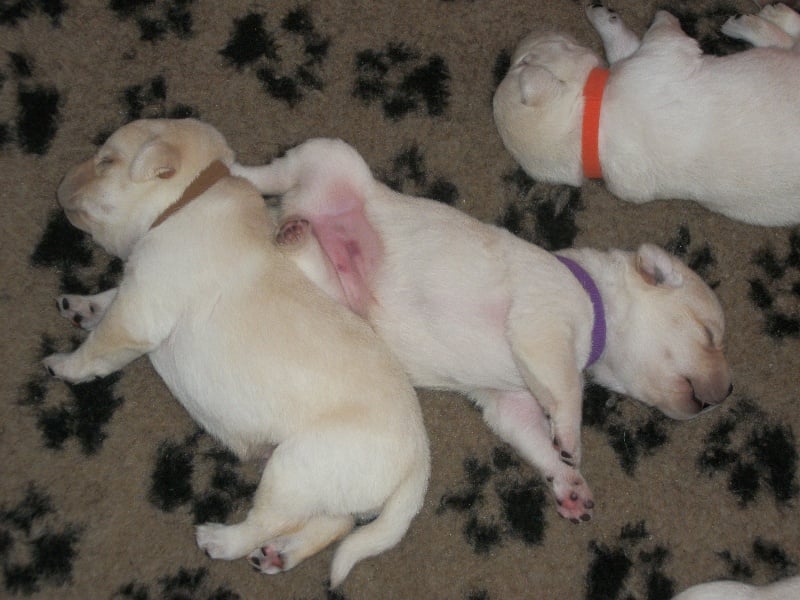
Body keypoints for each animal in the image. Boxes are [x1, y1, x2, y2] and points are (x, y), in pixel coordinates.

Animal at [43, 119, 430, 587]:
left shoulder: (139, 313)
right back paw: (280, 555)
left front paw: (64, 365)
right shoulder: (137, 283)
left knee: (272, 520)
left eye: (106, 162)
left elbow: (99, 346)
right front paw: (84, 307)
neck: (185, 200)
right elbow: (111, 295)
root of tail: (419, 459)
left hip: (296, 466)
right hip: (324, 483)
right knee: (333, 523)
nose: (60, 183)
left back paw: (223, 541)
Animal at [493, 3, 800, 226]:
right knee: (787, 41)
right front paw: (662, 14)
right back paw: (759, 21)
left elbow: (627, 44)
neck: (588, 124)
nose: (527, 36)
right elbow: (662, 32)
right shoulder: (658, 58)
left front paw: (603, 16)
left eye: (522, 61)